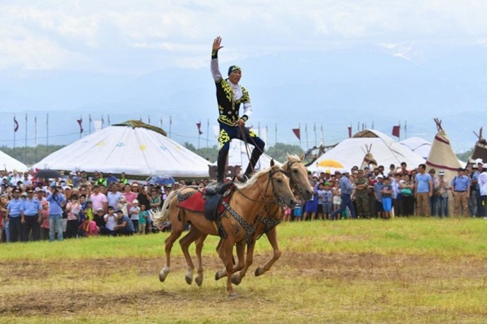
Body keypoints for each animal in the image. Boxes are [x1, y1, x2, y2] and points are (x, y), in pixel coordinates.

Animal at [154, 161, 296, 294]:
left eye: (289, 180)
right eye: (278, 180)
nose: (293, 201)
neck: (243, 205)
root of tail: (179, 191)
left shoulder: (243, 239)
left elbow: (242, 263)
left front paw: (228, 277)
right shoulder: (231, 238)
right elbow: (230, 264)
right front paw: (230, 288)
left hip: (197, 229)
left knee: (185, 243)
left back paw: (190, 274)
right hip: (178, 227)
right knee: (169, 243)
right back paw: (164, 272)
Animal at [177, 153, 314, 284]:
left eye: (306, 170)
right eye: (295, 170)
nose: (310, 192)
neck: (266, 204)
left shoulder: (269, 229)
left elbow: (277, 253)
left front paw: (258, 270)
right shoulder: (251, 234)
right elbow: (248, 260)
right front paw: (236, 278)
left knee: (213, 248)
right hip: (205, 228)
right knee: (200, 245)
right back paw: (200, 276)